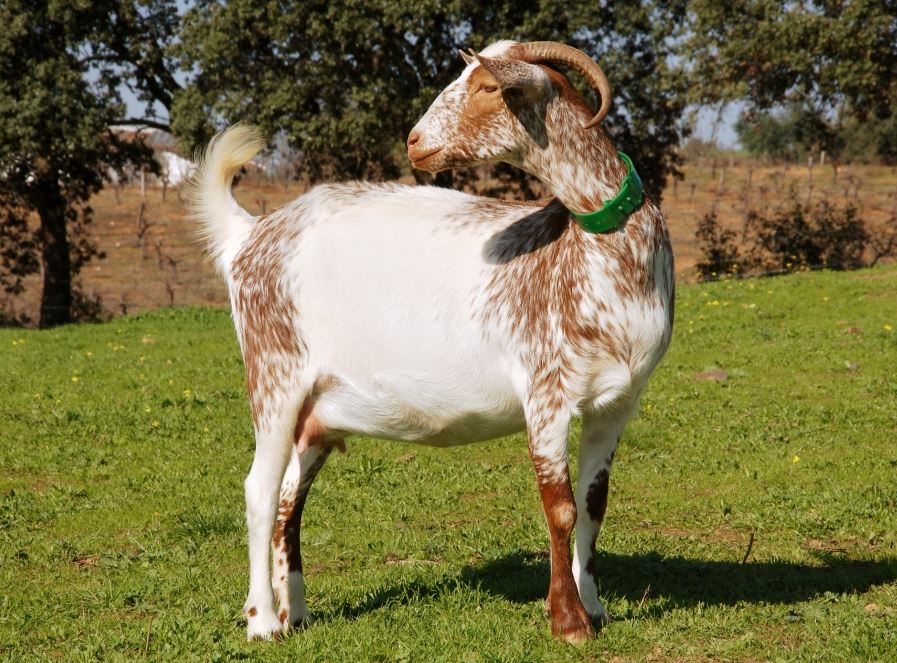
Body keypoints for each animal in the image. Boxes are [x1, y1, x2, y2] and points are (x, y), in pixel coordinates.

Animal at [186, 40, 674, 643]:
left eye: (488, 86)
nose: (415, 141)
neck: (599, 258)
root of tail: (251, 235)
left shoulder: (618, 401)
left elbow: (592, 504)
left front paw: (596, 607)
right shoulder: (546, 392)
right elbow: (559, 508)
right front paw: (568, 620)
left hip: (317, 412)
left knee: (288, 498)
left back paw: (295, 610)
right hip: (273, 369)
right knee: (259, 489)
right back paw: (262, 621)